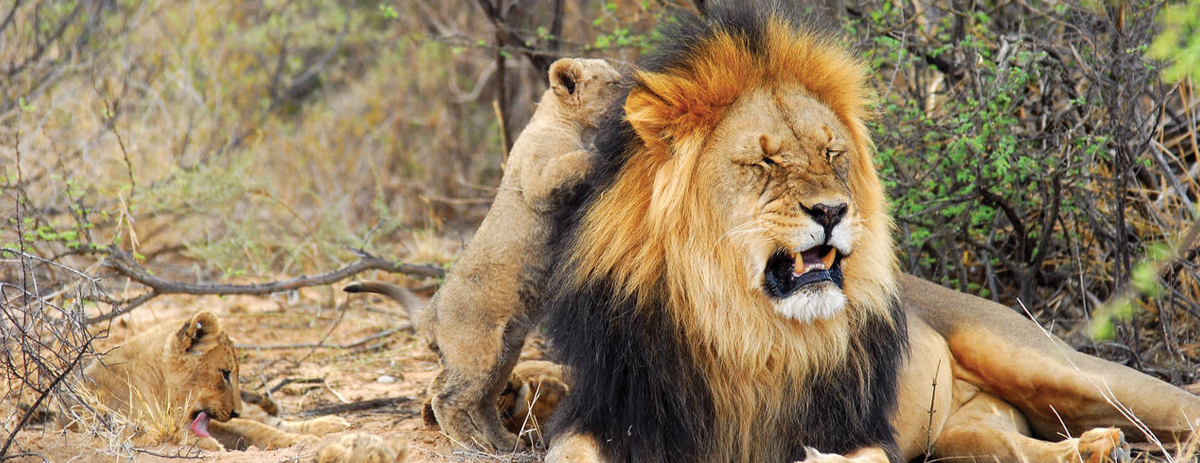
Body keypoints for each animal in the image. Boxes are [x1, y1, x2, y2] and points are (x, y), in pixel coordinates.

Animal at [77, 311, 349, 451]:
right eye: (225, 373)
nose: (235, 411)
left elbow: (257, 429)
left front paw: (304, 441)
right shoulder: (120, 427)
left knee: (272, 421)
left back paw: (332, 424)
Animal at [345, 56, 621, 452]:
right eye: (614, 84)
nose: (630, 92)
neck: (565, 123)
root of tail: (430, 312)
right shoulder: (538, 178)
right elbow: (575, 162)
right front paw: (602, 153)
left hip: (504, 352)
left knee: (482, 401)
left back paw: (505, 443)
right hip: (478, 350)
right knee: (447, 398)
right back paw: (471, 445)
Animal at [535, 4, 1200, 463]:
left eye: (832, 153)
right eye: (764, 161)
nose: (832, 210)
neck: (746, 335)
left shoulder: (859, 433)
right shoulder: (604, 414)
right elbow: (567, 452)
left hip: (1058, 367)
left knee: (1177, 406)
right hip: (963, 436)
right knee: (1011, 446)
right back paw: (1090, 448)